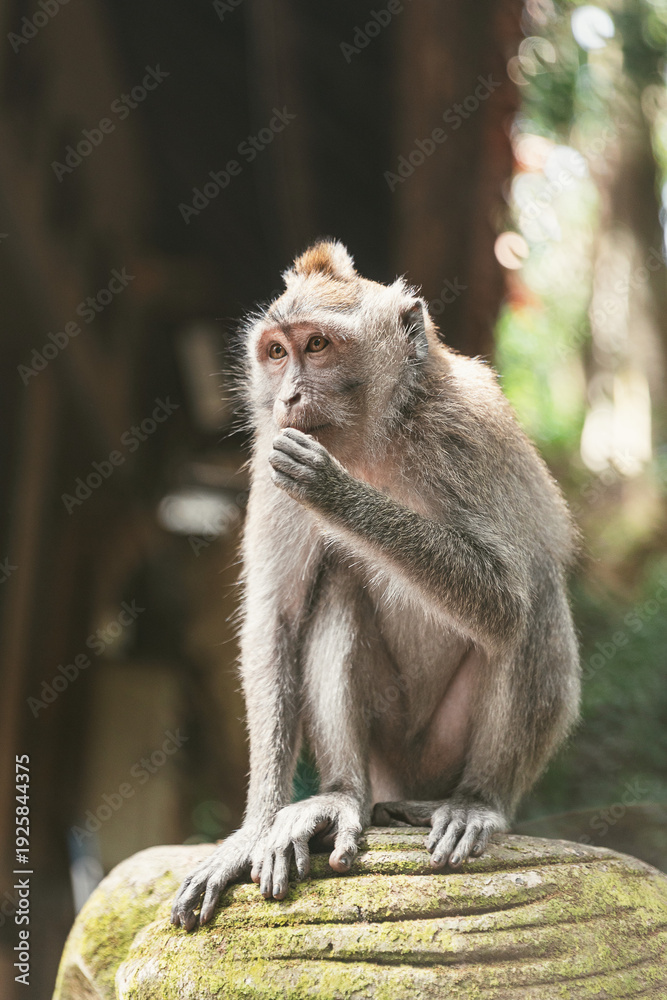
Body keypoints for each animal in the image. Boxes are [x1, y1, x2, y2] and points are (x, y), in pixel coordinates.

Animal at [171, 239, 580, 931]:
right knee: (338, 584)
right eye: (276, 352)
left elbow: (504, 601)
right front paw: (250, 833)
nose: (288, 396)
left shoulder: (467, 434)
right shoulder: (268, 462)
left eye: (317, 346)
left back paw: (479, 801)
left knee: (535, 606)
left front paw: (335, 492)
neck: (375, 438)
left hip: (443, 751)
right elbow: (277, 619)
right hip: (388, 750)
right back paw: (340, 798)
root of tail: (406, 784)